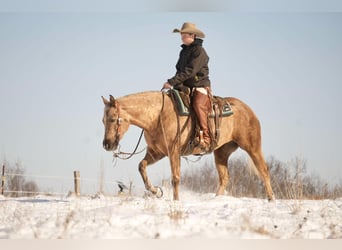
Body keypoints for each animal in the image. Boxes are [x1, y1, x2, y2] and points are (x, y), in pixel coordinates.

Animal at [101, 91, 276, 201]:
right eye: (103, 120)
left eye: (112, 119)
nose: (107, 144)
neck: (158, 116)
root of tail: (248, 109)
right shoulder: (156, 152)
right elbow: (141, 166)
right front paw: (156, 191)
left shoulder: (173, 151)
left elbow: (175, 178)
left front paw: (176, 200)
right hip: (221, 152)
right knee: (224, 178)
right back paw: (215, 200)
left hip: (252, 146)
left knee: (263, 170)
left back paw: (271, 198)